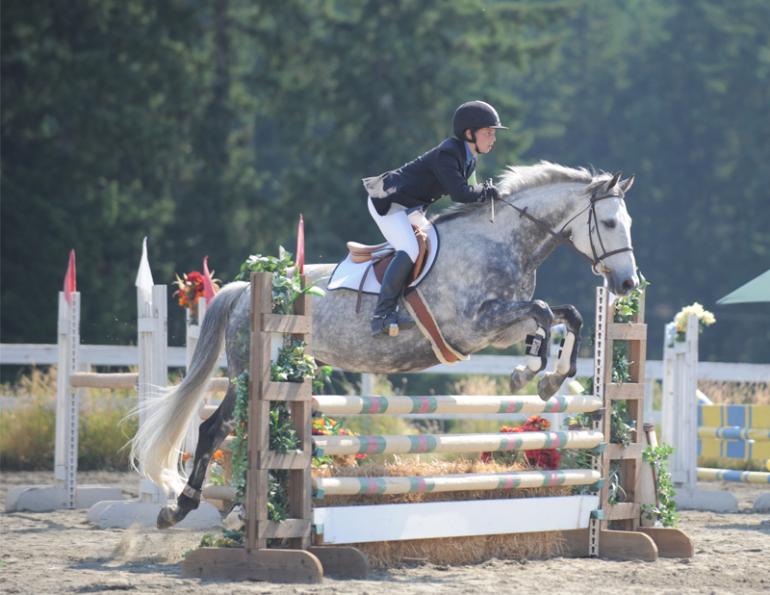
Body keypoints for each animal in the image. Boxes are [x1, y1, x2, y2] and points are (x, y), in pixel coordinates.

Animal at [130, 161, 638, 528]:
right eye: (610, 222)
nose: (628, 284)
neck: (505, 241)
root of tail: (244, 289)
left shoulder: (500, 327)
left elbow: (563, 316)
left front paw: (549, 377)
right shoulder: (475, 325)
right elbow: (546, 313)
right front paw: (531, 375)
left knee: (227, 427)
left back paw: (213, 508)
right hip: (250, 370)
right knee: (214, 428)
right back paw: (182, 509)